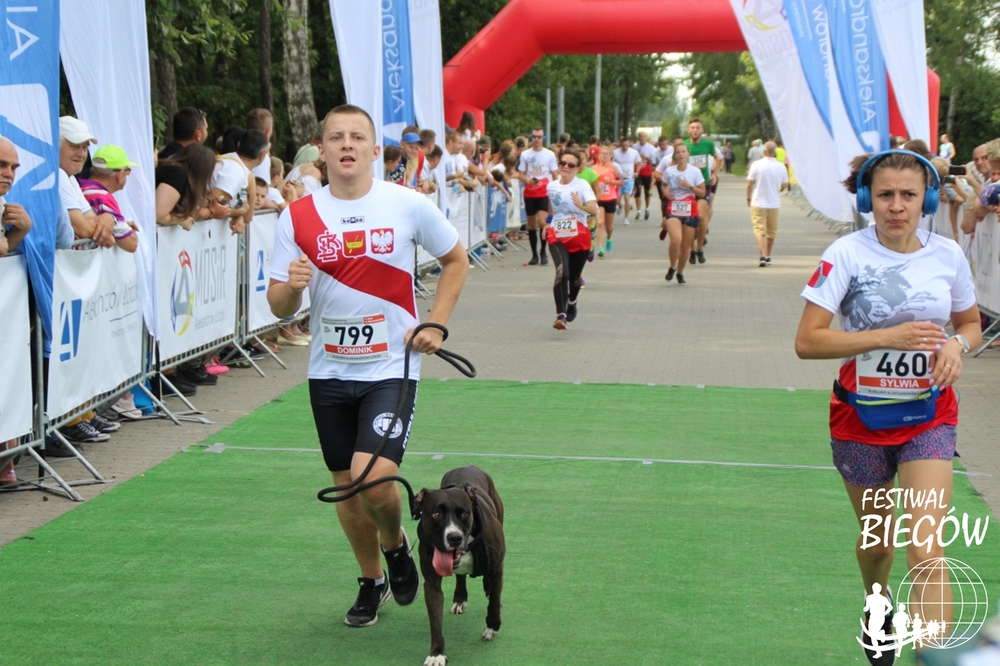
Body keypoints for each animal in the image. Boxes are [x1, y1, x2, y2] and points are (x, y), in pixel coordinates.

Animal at [413, 465, 505, 666]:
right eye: (436, 514)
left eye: (464, 513)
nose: (454, 537)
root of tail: (468, 466)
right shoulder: (431, 583)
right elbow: (435, 620)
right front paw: (437, 653)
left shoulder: (497, 567)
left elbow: (495, 600)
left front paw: (492, 626)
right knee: (461, 576)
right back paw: (460, 598)